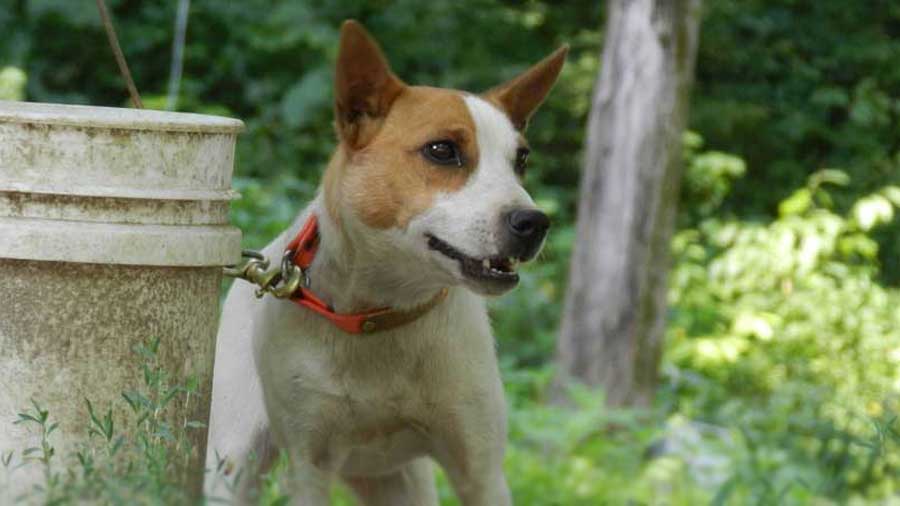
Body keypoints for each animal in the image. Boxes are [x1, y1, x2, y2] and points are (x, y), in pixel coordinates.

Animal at [207, 19, 568, 506]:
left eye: (522, 160)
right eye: (442, 150)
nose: (534, 221)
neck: (382, 313)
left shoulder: (480, 470)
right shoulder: (308, 467)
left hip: (400, 481)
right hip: (233, 462)